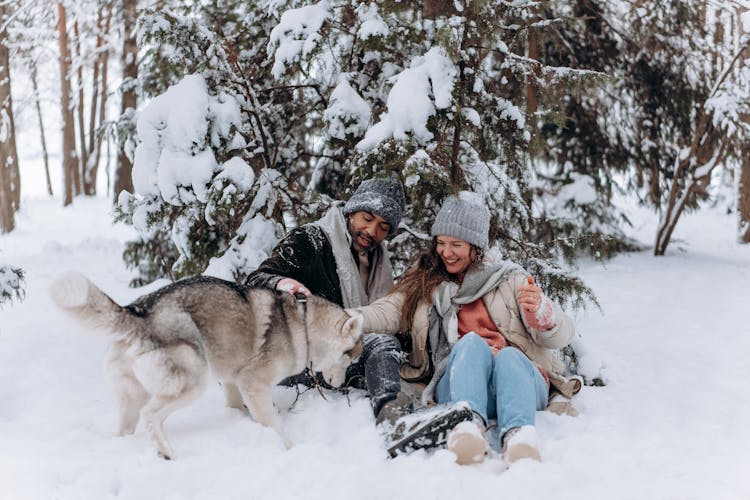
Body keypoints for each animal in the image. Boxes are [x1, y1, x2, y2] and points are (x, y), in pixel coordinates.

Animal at [50, 274, 364, 460]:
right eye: (351, 359)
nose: (340, 385)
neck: (303, 325)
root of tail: (138, 312)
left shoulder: (234, 382)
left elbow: (236, 406)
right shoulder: (253, 383)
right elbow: (274, 424)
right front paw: (290, 449)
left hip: (133, 397)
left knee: (131, 425)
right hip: (193, 383)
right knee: (150, 416)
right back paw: (167, 452)